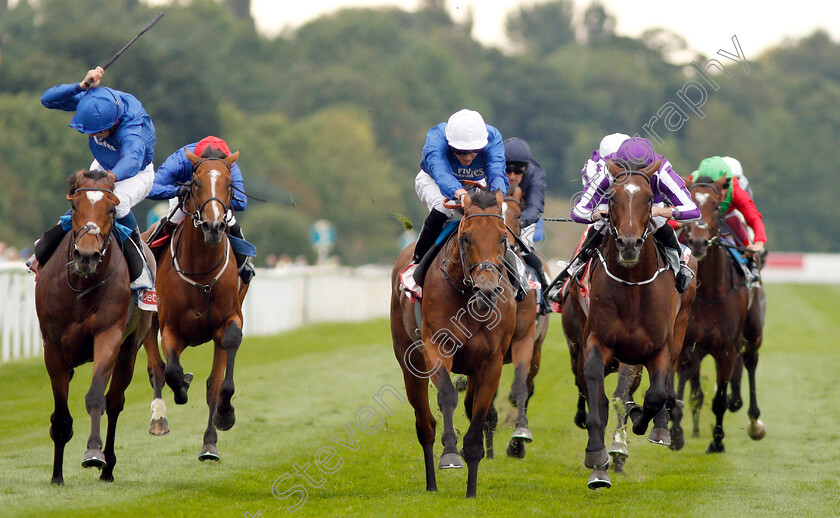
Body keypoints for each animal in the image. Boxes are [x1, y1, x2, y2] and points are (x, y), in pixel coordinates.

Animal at [35, 172, 154, 488]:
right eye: (73, 207)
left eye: (111, 210)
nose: (86, 256)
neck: (81, 288)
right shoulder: (53, 348)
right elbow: (61, 416)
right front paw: (56, 476)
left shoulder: (108, 337)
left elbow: (97, 397)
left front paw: (93, 453)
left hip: (129, 349)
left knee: (115, 402)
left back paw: (108, 467)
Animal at [142, 147, 249, 464]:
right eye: (196, 183)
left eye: (230, 183)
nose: (214, 226)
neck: (201, 270)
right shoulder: (170, 327)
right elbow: (170, 371)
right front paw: (180, 389)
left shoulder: (229, 320)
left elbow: (218, 384)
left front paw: (221, 421)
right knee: (156, 367)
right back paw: (159, 418)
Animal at [388, 188, 520, 500]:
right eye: (466, 237)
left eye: (503, 237)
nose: (487, 289)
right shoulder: (436, 346)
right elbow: (447, 395)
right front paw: (450, 453)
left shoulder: (492, 361)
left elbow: (479, 413)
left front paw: (471, 487)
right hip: (409, 364)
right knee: (424, 424)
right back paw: (431, 483)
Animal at [572, 162, 696, 492]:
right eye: (611, 198)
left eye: (650, 199)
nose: (628, 244)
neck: (631, 287)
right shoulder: (596, 342)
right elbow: (597, 399)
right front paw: (597, 459)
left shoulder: (657, 348)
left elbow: (654, 396)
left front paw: (644, 419)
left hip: (679, 330)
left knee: (662, 386)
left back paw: (660, 429)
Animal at [676, 177, 768, 452]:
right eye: (690, 202)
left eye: (716, 207)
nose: (697, 242)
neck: (709, 292)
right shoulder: (687, 344)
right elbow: (683, 391)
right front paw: (675, 433)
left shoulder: (726, 347)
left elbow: (718, 400)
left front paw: (717, 442)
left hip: (753, 331)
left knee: (750, 360)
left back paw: (754, 422)